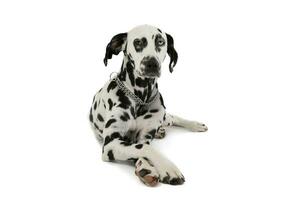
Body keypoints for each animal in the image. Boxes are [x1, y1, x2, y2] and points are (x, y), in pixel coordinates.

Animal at [90, 24, 207, 186]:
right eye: (138, 42)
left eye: (160, 42)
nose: (151, 63)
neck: (140, 98)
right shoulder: (111, 143)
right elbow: (144, 148)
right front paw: (164, 168)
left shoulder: (144, 136)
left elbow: (144, 145)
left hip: (164, 116)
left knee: (173, 117)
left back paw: (194, 125)